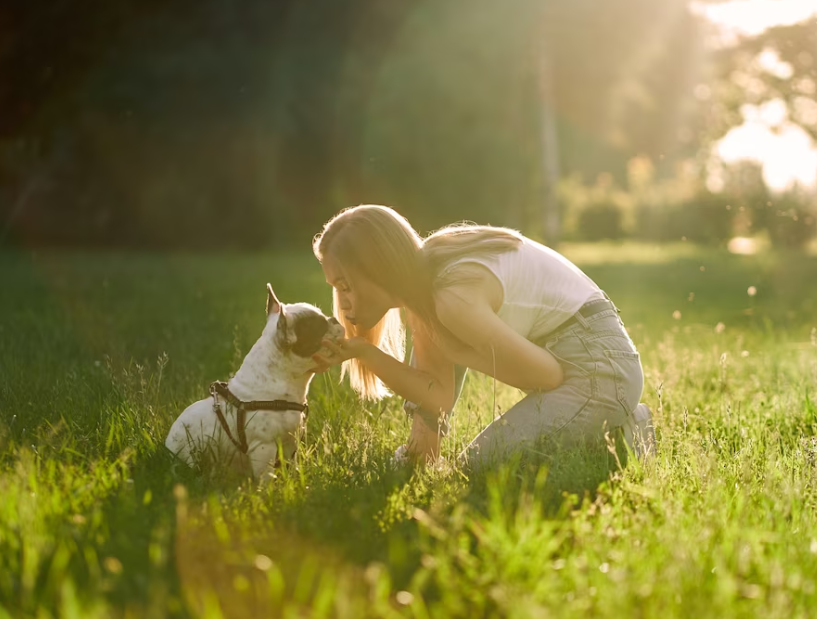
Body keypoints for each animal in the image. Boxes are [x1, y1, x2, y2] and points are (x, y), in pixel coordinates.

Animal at [166, 284, 344, 482]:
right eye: (320, 326)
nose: (334, 319)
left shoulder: (290, 444)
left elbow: (290, 467)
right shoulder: (263, 447)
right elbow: (266, 478)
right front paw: (269, 490)